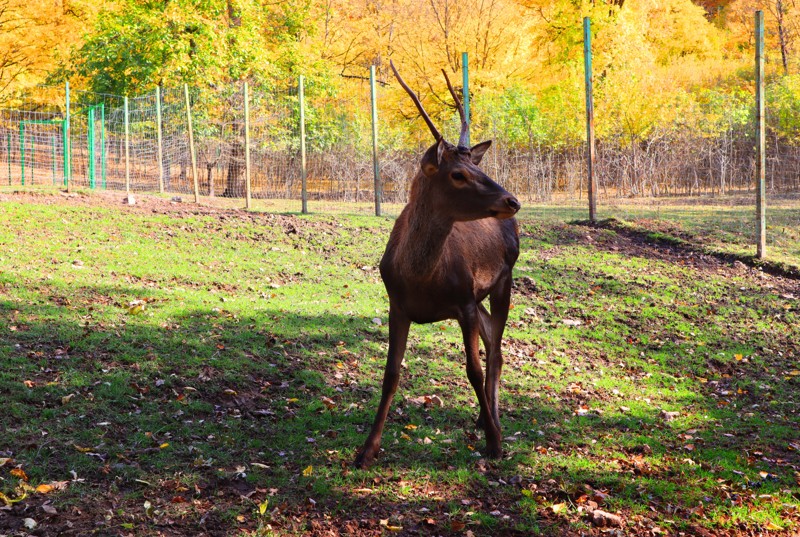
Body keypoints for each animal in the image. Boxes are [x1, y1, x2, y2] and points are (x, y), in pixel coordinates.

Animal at [354, 60, 520, 466]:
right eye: (458, 174)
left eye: (478, 170)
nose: (512, 200)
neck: (421, 279)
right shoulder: (397, 305)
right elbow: (390, 374)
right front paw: (367, 450)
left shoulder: (464, 301)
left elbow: (473, 369)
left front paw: (495, 443)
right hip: (483, 295)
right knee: (494, 341)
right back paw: (483, 417)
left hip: (504, 278)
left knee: (496, 349)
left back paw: (493, 422)